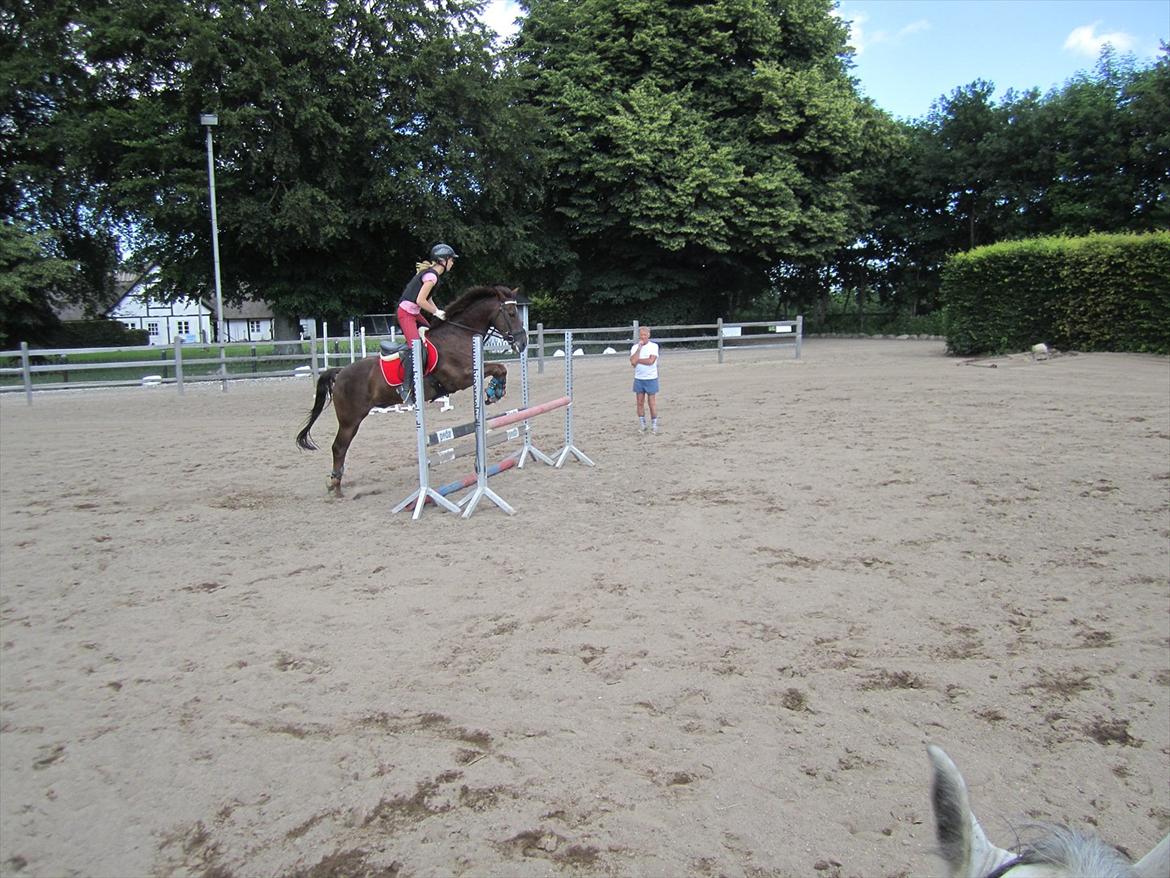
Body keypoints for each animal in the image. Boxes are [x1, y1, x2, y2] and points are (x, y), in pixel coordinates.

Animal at [296, 284, 527, 494]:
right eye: (511, 313)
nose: (523, 343)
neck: (458, 334)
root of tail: (340, 372)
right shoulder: (460, 378)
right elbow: (498, 367)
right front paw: (495, 391)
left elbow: (500, 368)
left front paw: (495, 390)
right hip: (350, 419)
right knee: (338, 447)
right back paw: (335, 485)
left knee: (340, 448)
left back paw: (337, 483)